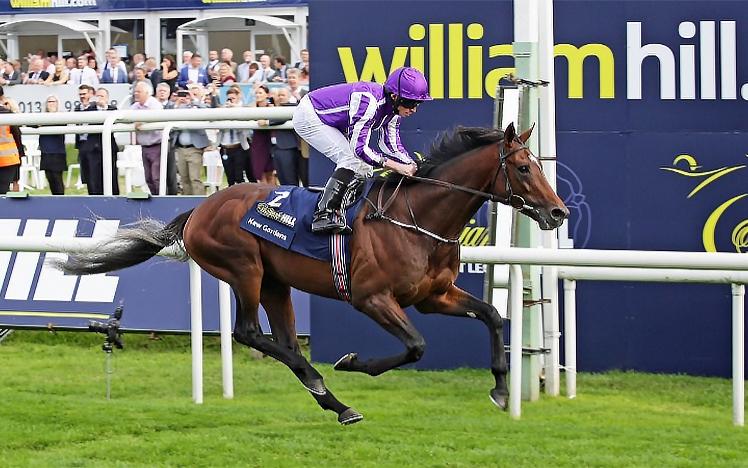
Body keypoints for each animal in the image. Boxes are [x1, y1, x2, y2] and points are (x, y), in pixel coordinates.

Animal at [61, 122, 568, 426]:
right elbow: (415, 346)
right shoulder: (371, 298)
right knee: (248, 332)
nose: (558, 212)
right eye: (523, 168)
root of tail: (200, 208)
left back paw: (333, 401)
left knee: (283, 341)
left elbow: (492, 316)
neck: (415, 218)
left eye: (538, 164)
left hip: (275, 283)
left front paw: (501, 389)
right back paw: (325, 382)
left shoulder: (434, 295)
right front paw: (352, 362)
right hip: (243, 269)